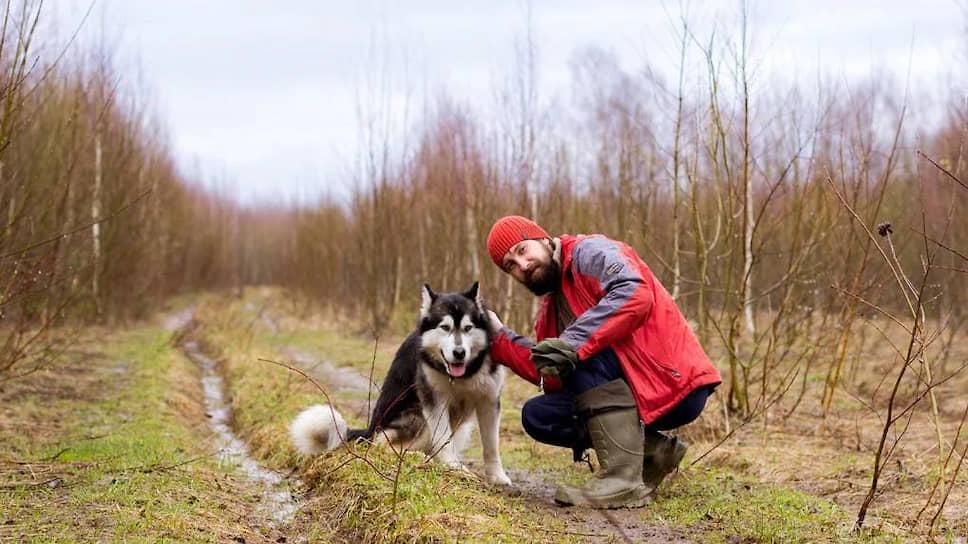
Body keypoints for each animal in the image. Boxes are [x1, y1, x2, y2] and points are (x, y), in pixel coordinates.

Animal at [290, 282, 510, 486]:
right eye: (445, 327)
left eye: (468, 328)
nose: (459, 353)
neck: (464, 375)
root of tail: (370, 429)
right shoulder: (434, 400)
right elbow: (442, 437)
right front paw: (453, 466)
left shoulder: (489, 401)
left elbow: (492, 445)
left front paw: (497, 475)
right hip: (416, 416)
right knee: (382, 445)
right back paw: (418, 457)